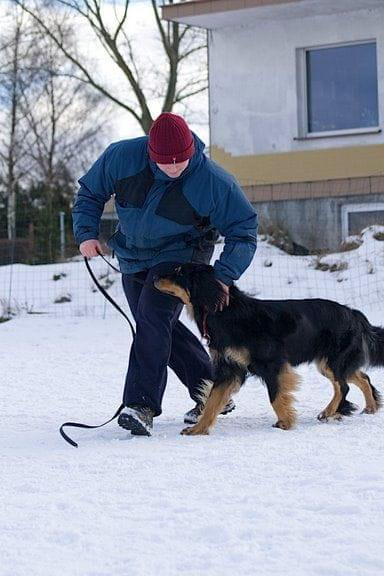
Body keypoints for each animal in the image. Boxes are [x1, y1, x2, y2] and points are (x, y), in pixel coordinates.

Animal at [154, 264, 382, 434]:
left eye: (179, 272)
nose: (154, 276)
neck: (227, 314)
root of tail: (353, 313)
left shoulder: (272, 363)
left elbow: (275, 396)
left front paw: (286, 422)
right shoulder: (229, 367)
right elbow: (212, 401)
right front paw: (198, 429)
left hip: (333, 360)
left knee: (343, 386)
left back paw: (329, 412)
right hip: (328, 363)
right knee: (360, 378)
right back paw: (369, 407)